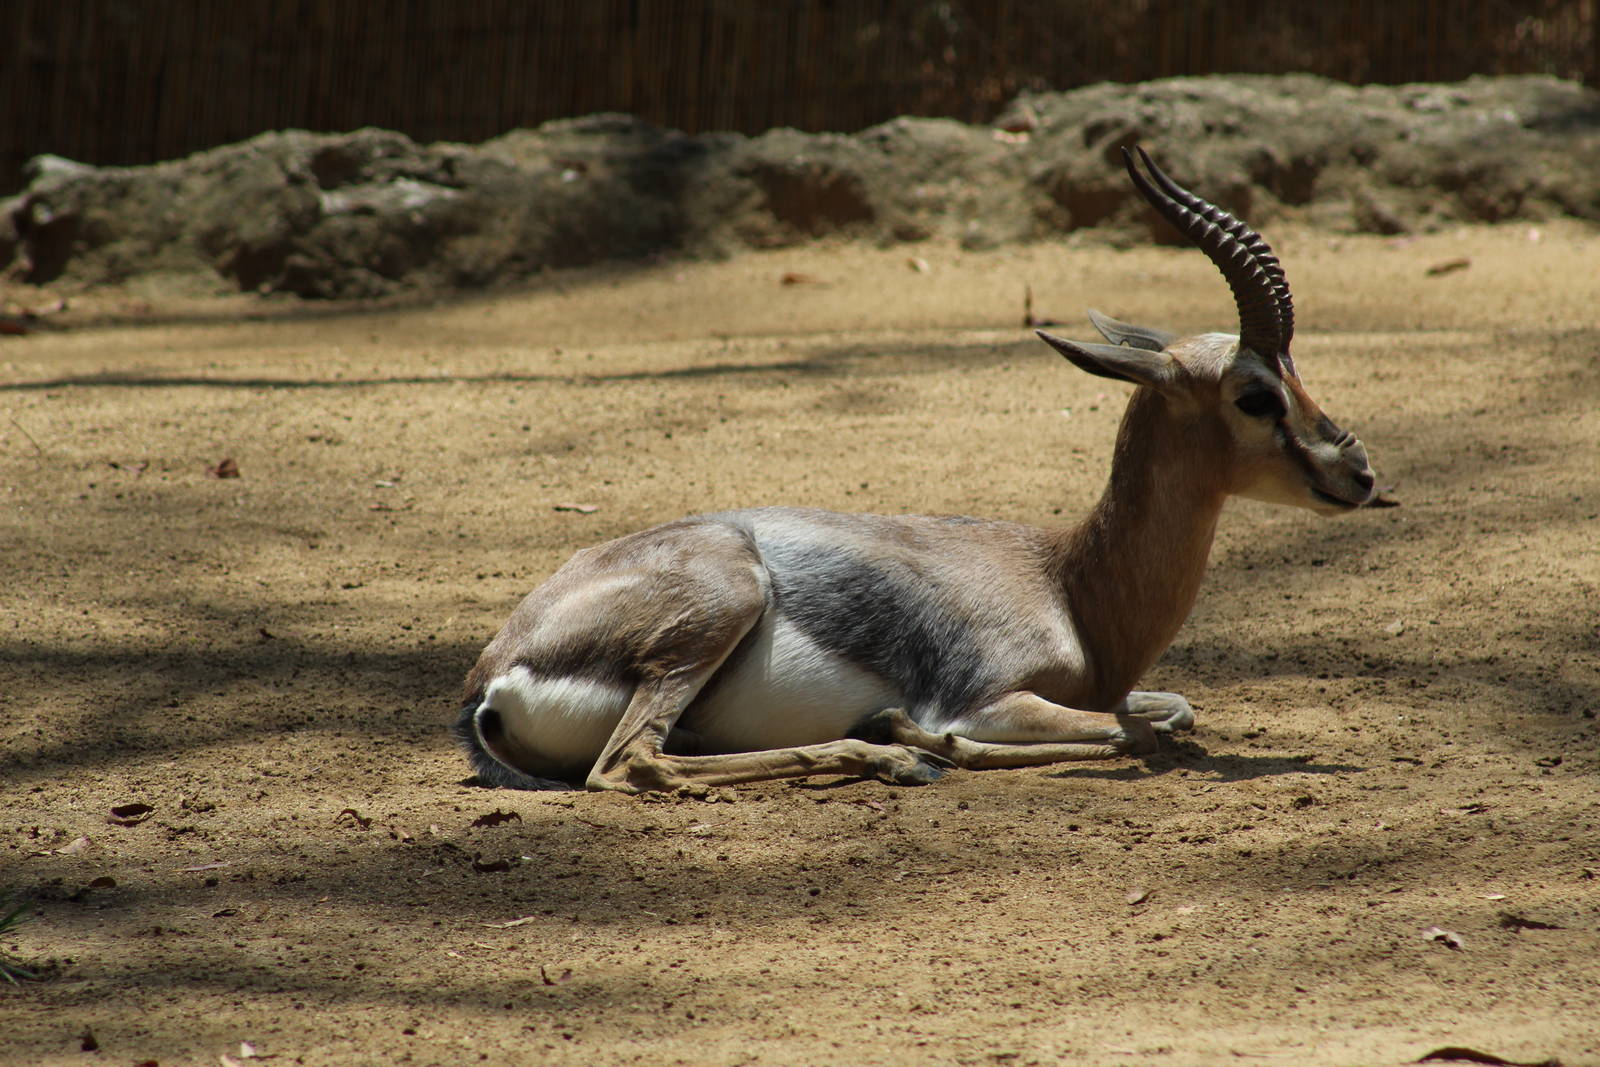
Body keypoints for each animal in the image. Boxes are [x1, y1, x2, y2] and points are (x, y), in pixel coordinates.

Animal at [456, 147, 1389, 793]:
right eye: (1256, 394)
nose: (1359, 472)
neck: (1069, 583)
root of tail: (492, 675)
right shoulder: (991, 698)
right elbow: (1135, 733)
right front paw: (919, 735)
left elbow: (1171, 711)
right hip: (719, 610)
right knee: (632, 765)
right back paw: (897, 752)